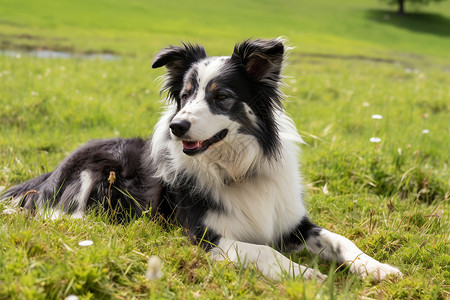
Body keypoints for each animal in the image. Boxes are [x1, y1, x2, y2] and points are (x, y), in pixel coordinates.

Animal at [0, 39, 400, 282]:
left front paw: (377, 268)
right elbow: (264, 252)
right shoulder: (206, 235)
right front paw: (308, 276)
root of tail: (50, 173)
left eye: (221, 96)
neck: (237, 169)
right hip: (93, 171)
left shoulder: (292, 224)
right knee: (54, 213)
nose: (176, 126)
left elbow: (342, 240)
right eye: (186, 94)